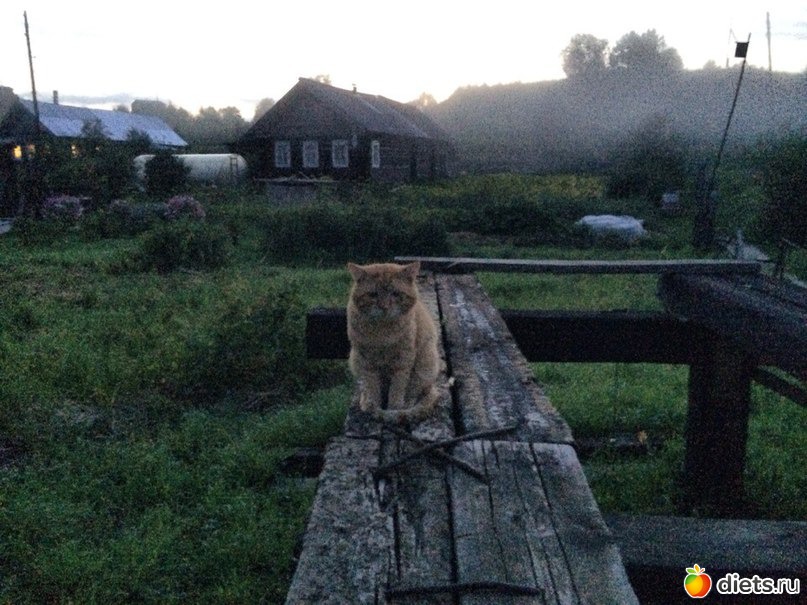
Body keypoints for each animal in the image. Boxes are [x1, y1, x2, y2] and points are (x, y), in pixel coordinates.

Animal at [346, 261, 440, 424]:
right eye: (373, 295)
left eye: (396, 294)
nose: (384, 307)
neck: (382, 333)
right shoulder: (366, 362)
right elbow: (372, 387)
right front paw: (374, 407)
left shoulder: (403, 361)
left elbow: (397, 388)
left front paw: (393, 410)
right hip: (354, 361)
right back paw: (365, 401)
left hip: (425, 365)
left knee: (417, 392)